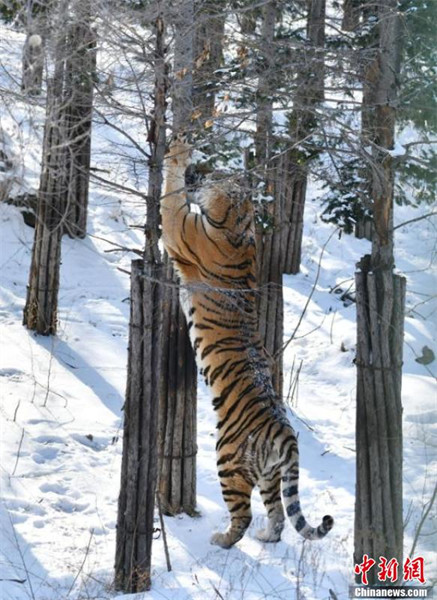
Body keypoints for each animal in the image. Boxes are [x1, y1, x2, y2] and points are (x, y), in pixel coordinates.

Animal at [160, 136, 334, 548]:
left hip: (228, 460)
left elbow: (169, 197)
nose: (198, 172)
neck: (241, 221)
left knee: (243, 514)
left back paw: (222, 539)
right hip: (271, 475)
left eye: (212, 175)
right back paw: (265, 537)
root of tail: (286, 434)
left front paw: (179, 148)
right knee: (279, 516)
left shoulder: (180, 228)